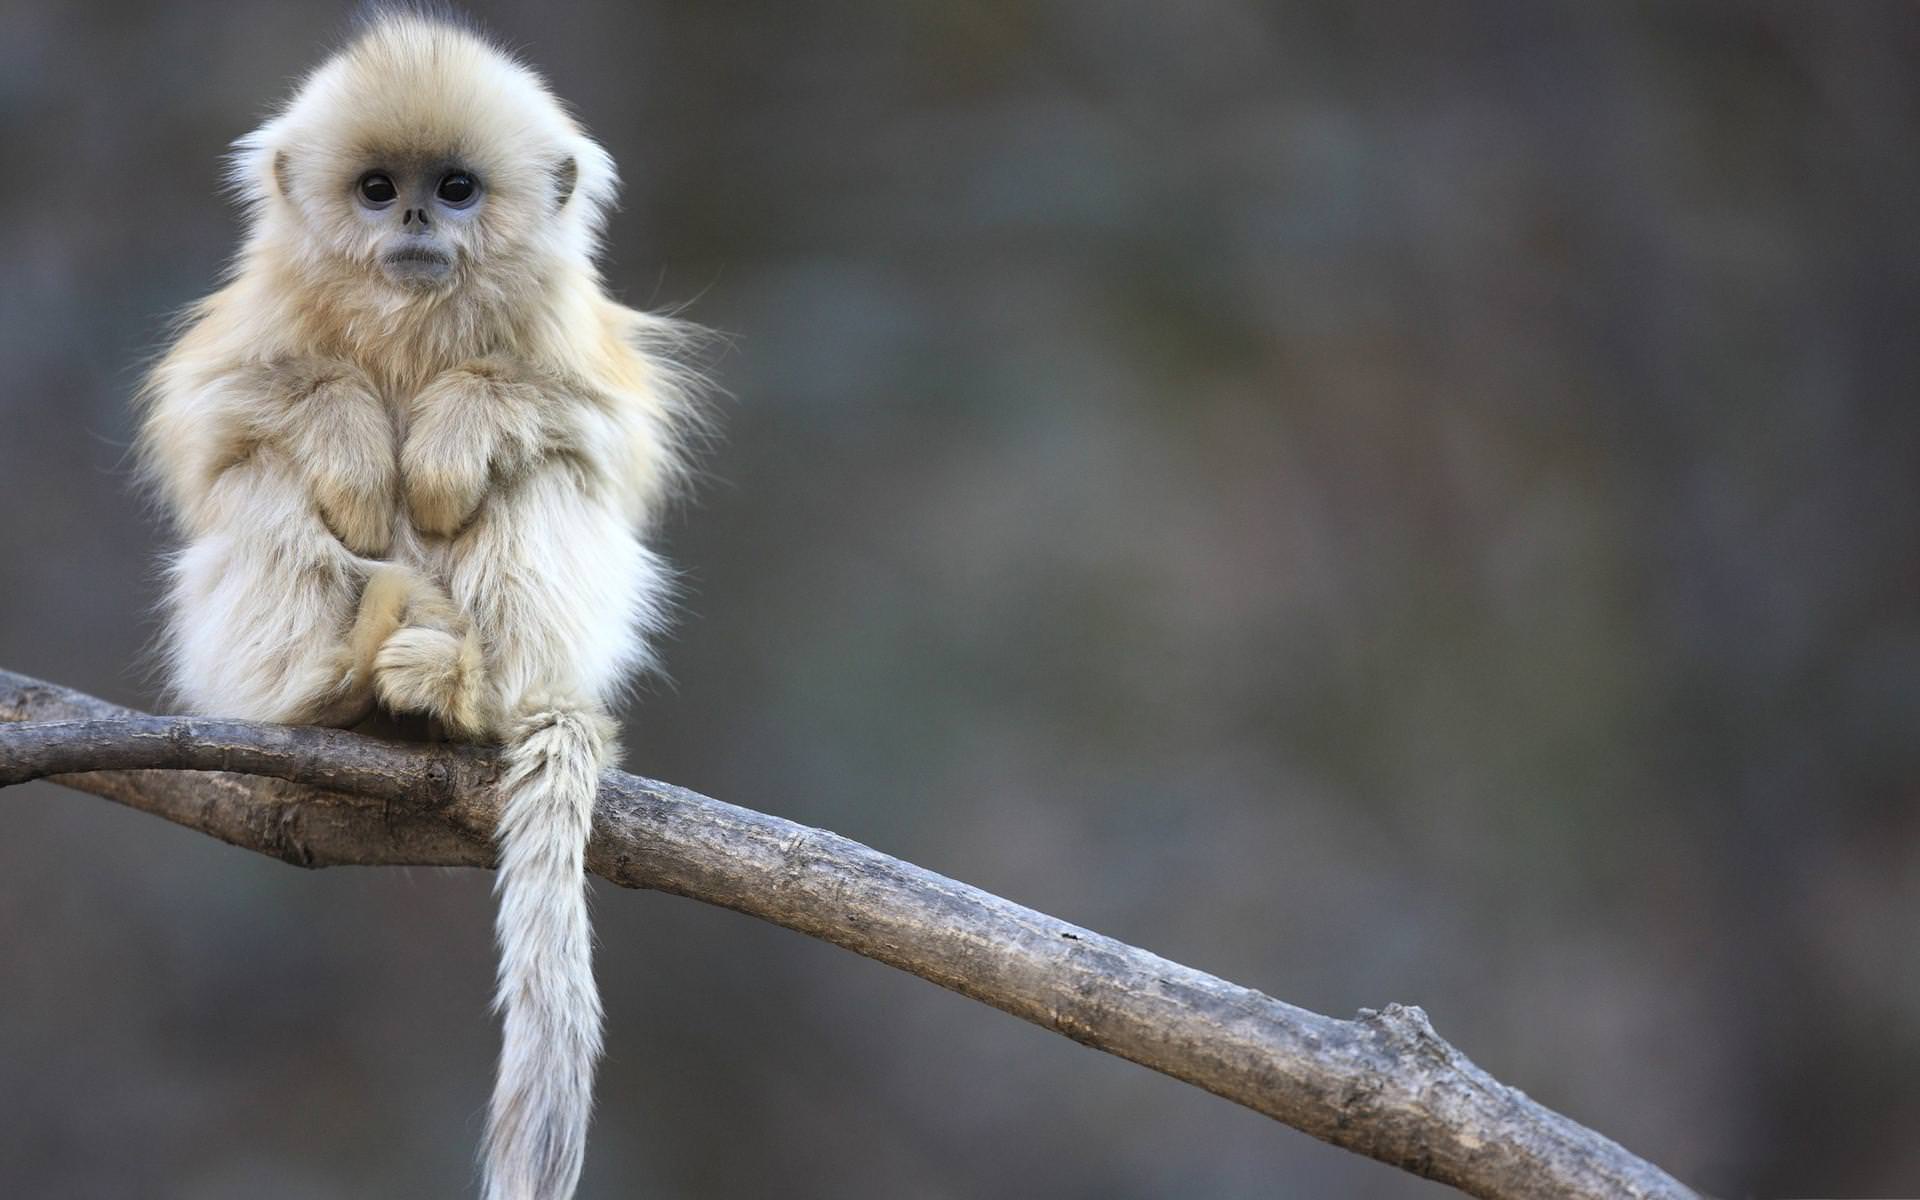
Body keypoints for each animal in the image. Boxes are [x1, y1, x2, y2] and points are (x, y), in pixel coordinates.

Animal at [136, 12, 701, 1198]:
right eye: (374, 188)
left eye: (455, 188)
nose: (410, 220)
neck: (410, 314)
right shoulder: (253, 322)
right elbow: (218, 421)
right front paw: (356, 447)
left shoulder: (571, 342)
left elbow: (595, 433)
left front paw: (445, 440)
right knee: (264, 479)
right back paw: (330, 686)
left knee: (544, 475)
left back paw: (461, 691)